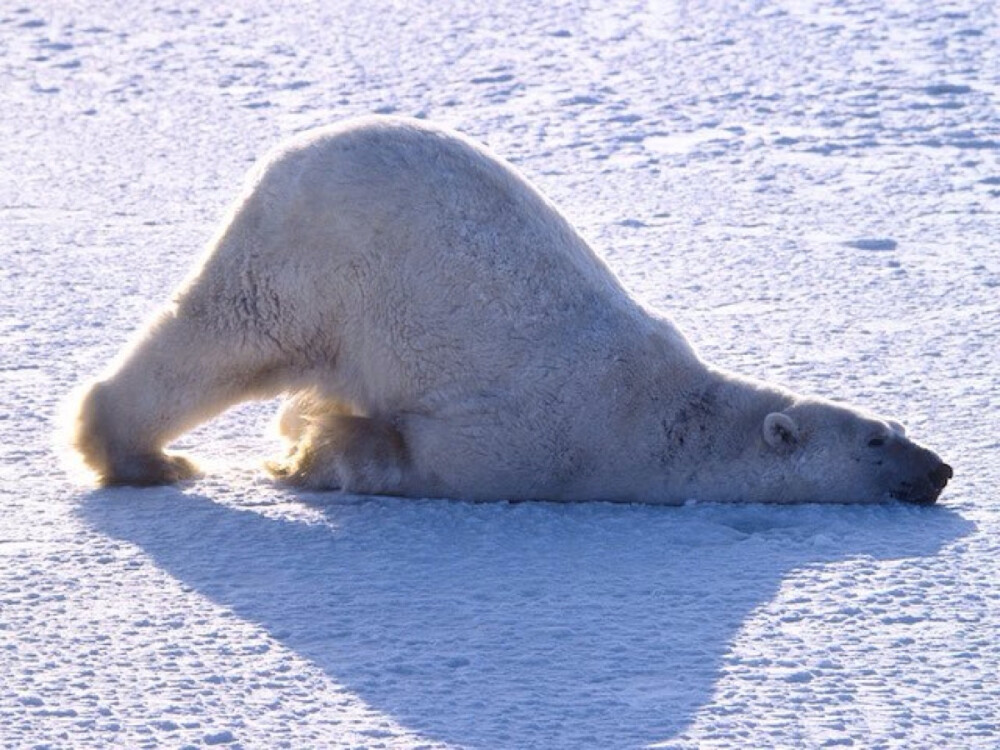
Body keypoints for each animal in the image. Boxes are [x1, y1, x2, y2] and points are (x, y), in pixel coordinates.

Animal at [72, 117, 952, 506]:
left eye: (899, 425)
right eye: (878, 441)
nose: (941, 469)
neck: (660, 417)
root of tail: (296, 151)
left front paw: (300, 434)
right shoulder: (540, 440)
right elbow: (416, 452)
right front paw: (311, 448)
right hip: (314, 262)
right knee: (224, 339)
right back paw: (142, 457)